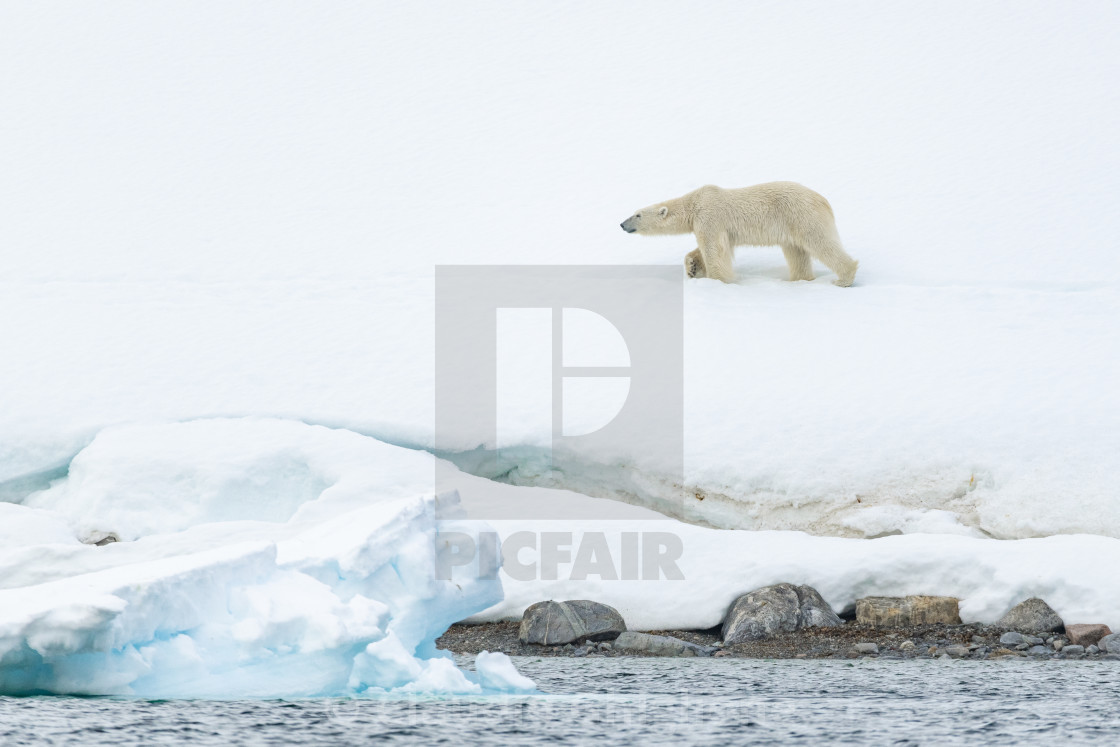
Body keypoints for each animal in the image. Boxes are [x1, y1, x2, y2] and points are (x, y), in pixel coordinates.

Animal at [622, 181, 855, 286]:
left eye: (637, 215)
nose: (622, 224)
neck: (693, 204)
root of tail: (823, 200)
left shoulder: (709, 216)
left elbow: (714, 250)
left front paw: (718, 281)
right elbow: (705, 248)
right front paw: (692, 267)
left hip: (802, 215)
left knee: (820, 242)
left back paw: (844, 278)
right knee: (796, 252)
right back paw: (800, 280)